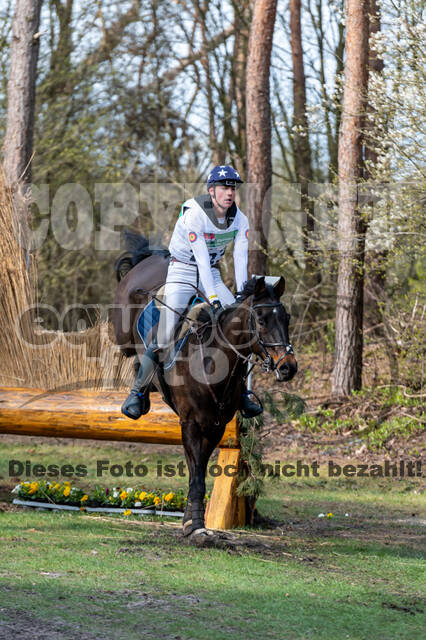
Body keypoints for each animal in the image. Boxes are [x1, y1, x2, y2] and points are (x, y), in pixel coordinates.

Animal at [113, 230, 300, 536]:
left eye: (286, 318)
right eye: (261, 320)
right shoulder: (190, 423)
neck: (213, 364)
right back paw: (136, 397)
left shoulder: (216, 425)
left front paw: (191, 520)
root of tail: (153, 257)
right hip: (124, 329)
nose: (288, 367)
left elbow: (198, 471)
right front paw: (196, 526)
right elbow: (197, 474)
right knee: (137, 352)